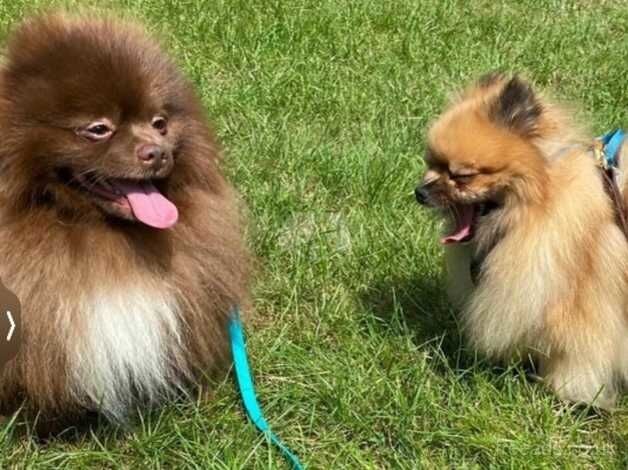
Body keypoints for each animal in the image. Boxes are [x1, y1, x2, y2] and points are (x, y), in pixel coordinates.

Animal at [418, 72, 628, 408]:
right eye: (431, 163)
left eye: (462, 176)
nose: (419, 192)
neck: (538, 206)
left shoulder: (582, 305)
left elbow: (577, 355)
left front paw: (565, 394)